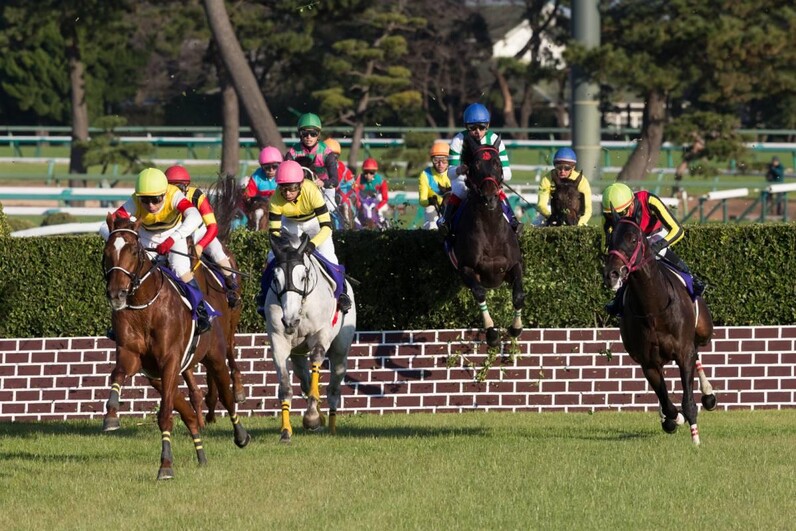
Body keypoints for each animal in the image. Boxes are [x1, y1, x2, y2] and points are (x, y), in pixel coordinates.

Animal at [102, 214, 250, 480]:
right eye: (108, 251)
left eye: (133, 250)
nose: (116, 294)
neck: (145, 307)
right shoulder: (133, 356)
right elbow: (117, 373)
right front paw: (111, 416)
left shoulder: (170, 361)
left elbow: (164, 417)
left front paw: (165, 465)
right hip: (158, 379)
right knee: (189, 413)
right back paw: (201, 455)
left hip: (215, 355)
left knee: (226, 392)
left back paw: (240, 433)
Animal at [262, 234, 356, 444]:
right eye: (275, 278)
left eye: (303, 277)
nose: (290, 321)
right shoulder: (278, 341)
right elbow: (285, 387)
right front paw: (286, 432)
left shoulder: (321, 335)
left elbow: (317, 359)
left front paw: (312, 417)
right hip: (297, 354)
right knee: (304, 379)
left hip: (340, 350)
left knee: (333, 387)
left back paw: (330, 426)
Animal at [450, 135, 524, 348]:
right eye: (475, 165)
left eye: (498, 163)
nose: (490, 198)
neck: (491, 233)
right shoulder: (466, 268)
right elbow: (480, 293)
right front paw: (491, 333)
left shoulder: (513, 265)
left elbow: (518, 295)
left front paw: (515, 328)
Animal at [608, 216, 720, 444]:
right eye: (610, 238)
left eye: (633, 239)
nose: (613, 274)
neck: (653, 309)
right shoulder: (648, 363)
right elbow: (667, 403)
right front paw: (673, 419)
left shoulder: (683, 352)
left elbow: (688, 402)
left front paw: (696, 441)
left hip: (703, 331)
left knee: (697, 351)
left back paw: (709, 395)